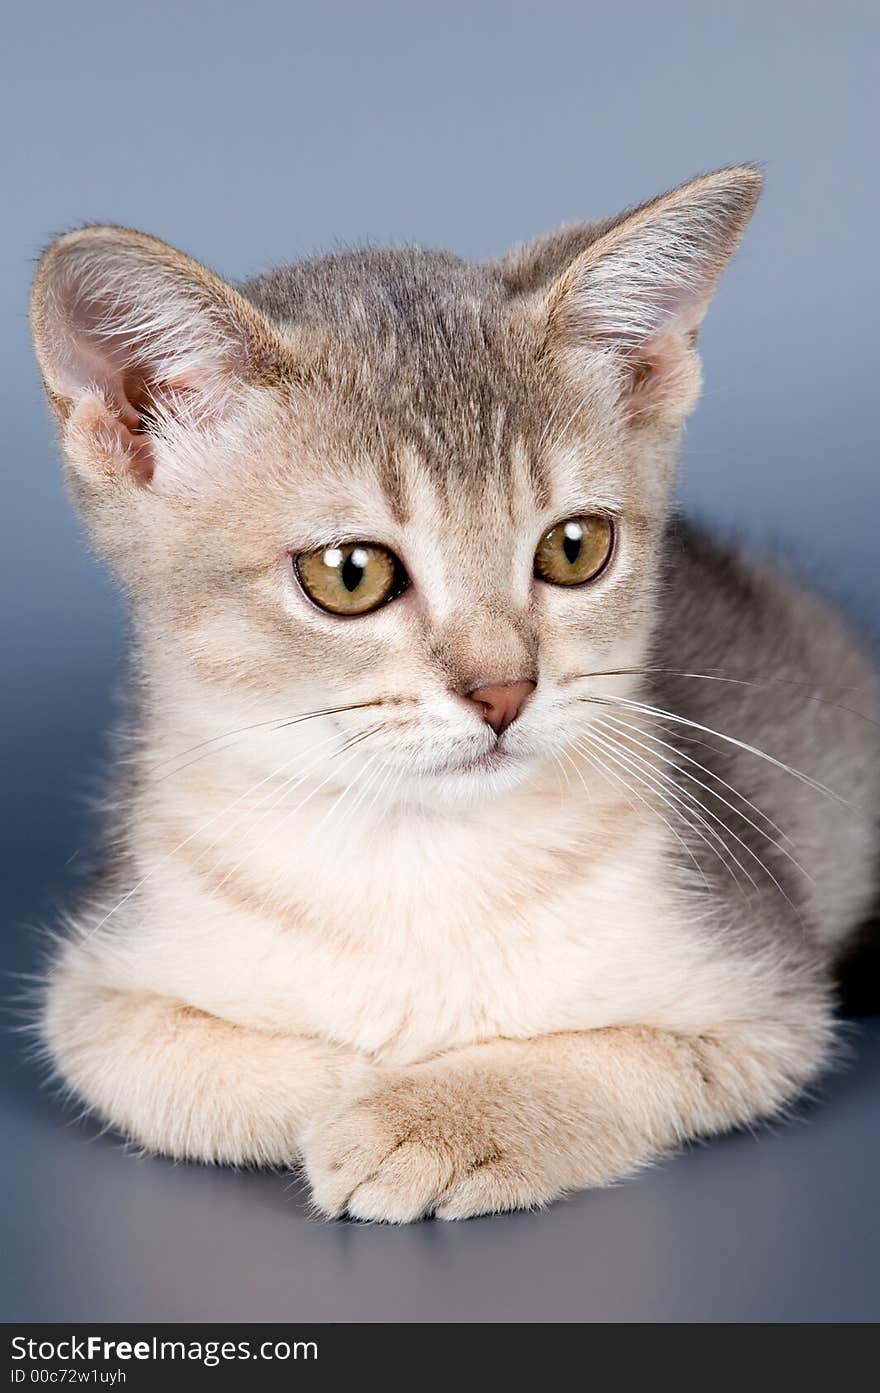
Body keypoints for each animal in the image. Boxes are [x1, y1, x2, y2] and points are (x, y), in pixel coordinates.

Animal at [29, 168, 880, 1220]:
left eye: (576, 547)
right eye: (349, 573)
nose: (504, 689)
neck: (416, 859)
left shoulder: (768, 997)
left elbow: (606, 1057)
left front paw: (434, 1117)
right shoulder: (96, 989)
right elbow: (183, 1066)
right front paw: (359, 1088)